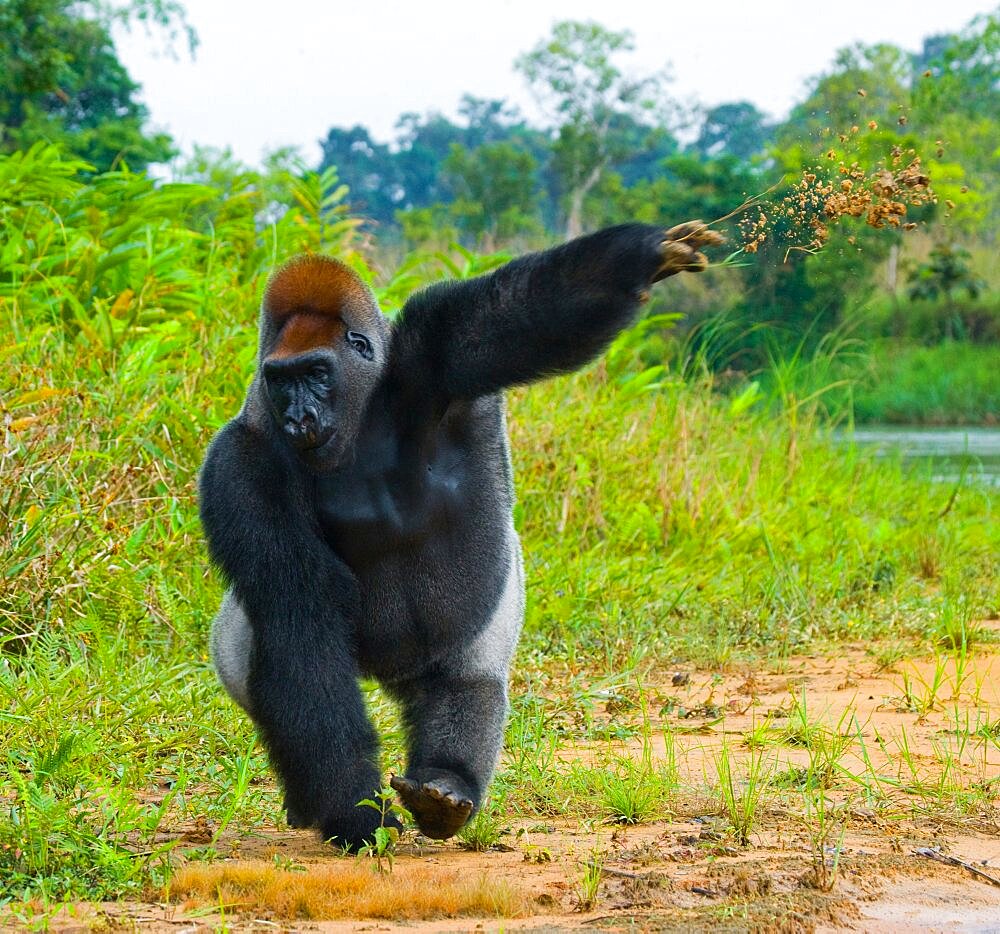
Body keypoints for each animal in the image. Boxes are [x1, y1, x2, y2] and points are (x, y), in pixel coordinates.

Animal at [199, 223, 724, 852]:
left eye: (316, 374)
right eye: (281, 381)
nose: (299, 418)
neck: (360, 412)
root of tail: (389, 675)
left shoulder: (431, 351)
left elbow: (522, 316)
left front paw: (640, 259)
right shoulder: (239, 464)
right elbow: (299, 623)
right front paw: (354, 811)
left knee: (469, 680)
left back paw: (449, 782)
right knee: (256, 650)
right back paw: (315, 802)